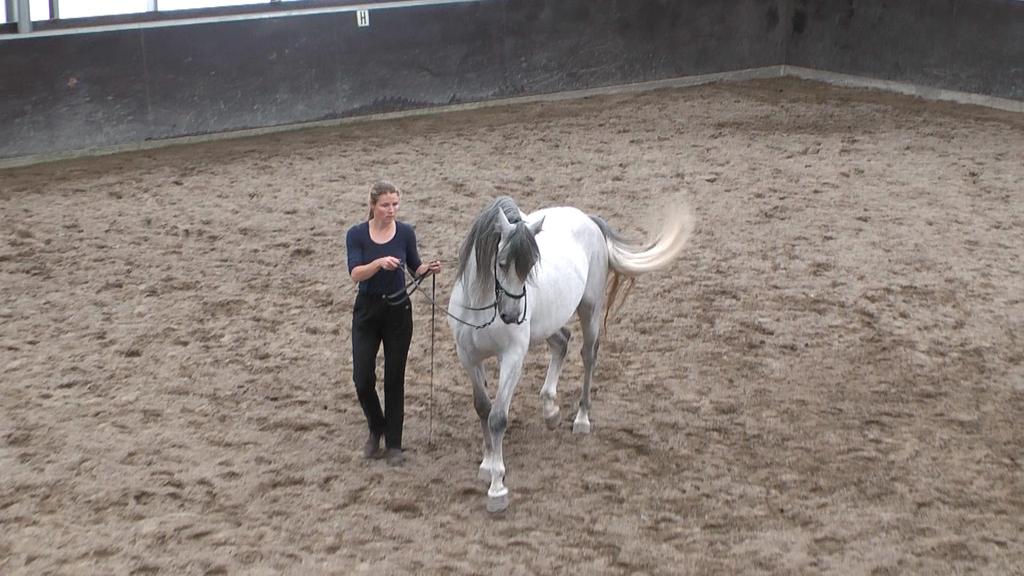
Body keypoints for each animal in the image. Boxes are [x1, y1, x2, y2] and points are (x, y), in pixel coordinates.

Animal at [450, 194, 696, 508]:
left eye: (531, 266)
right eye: (502, 263)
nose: (512, 315)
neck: (483, 307)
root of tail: (588, 219)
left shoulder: (513, 358)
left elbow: (498, 418)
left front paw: (497, 487)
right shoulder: (468, 358)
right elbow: (482, 408)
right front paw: (486, 464)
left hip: (589, 310)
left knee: (588, 355)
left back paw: (581, 419)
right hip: (548, 324)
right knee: (562, 342)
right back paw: (550, 409)